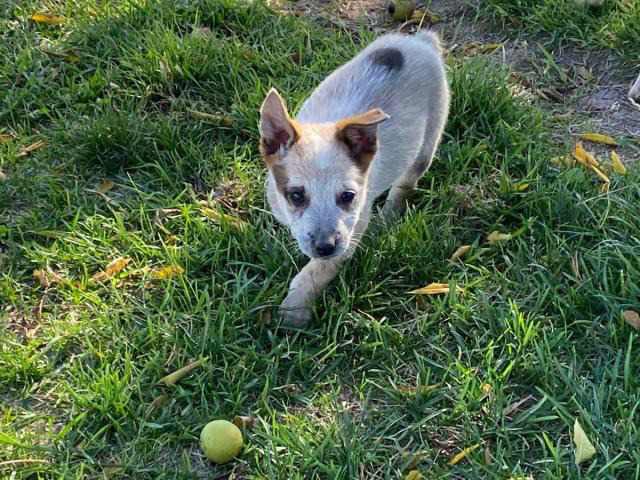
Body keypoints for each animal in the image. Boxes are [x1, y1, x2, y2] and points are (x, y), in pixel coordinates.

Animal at [258, 31, 450, 328]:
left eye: (348, 196)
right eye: (296, 196)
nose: (325, 247)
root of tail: (420, 40)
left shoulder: (353, 228)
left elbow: (316, 272)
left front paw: (295, 312)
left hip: (429, 138)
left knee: (405, 184)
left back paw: (387, 220)